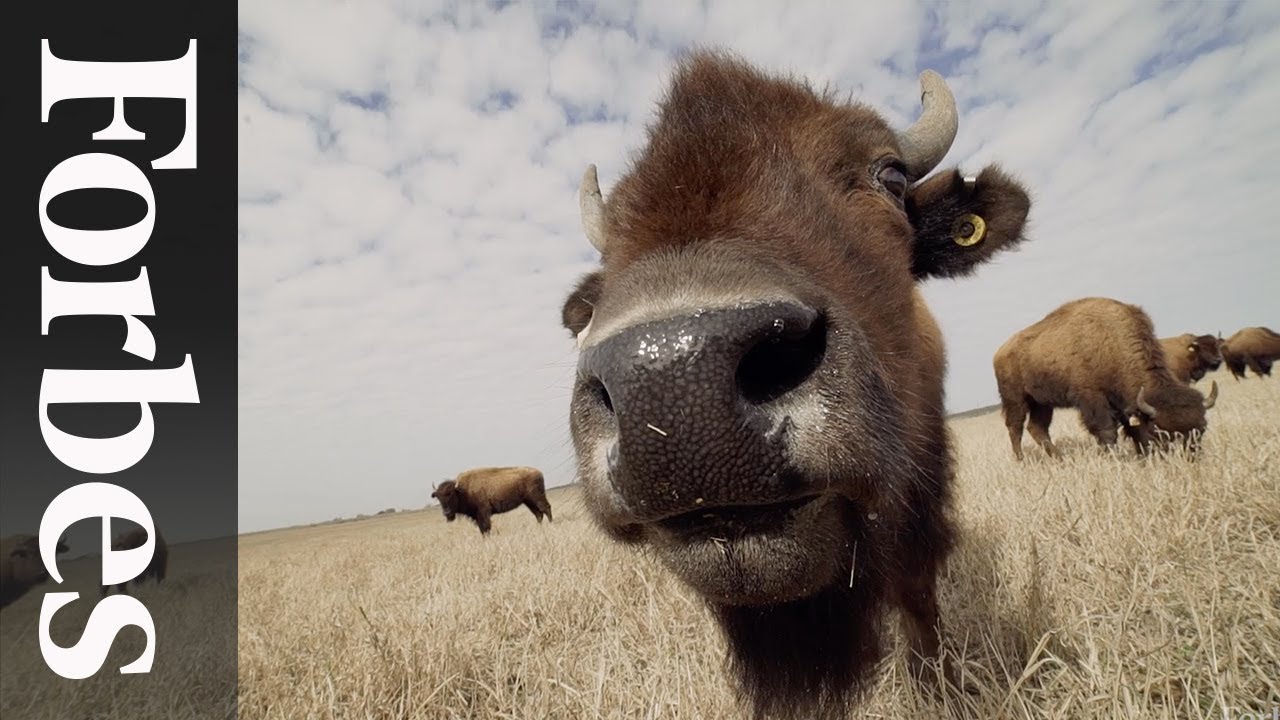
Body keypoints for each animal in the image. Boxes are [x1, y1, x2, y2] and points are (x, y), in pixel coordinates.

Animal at [995, 297, 1218, 460]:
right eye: (1161, 432)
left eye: (1202, 429)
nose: (1190, 460)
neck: (1111, 343)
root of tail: (999, 352)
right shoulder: (1093, 399)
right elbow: (1106, 430)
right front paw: (1112, 458)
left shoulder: (1123, 402)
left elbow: (1132, 428)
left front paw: (1142, 456)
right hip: (1016, 400)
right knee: (1015, 428)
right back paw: (1021, 460)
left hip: (1042, 403)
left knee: (1037, 428)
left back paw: (1060, 459)